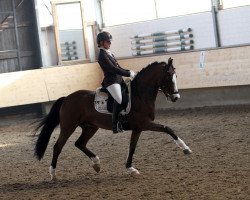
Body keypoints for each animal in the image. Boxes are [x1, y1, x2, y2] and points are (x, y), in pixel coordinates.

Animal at [34, 57, 192, 180]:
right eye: (168, 77)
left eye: (176, 76)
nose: (176, 97)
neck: (140, 95)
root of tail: (66, 98)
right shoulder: (145, 124)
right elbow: (168, 129)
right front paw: (186, 148)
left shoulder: (138, 128)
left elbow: (132, 147)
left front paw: (130, 168)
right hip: (68, 127)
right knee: (58, 146)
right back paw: (53, 174)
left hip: (91, 127)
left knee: (79, 143)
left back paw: (96, 164)